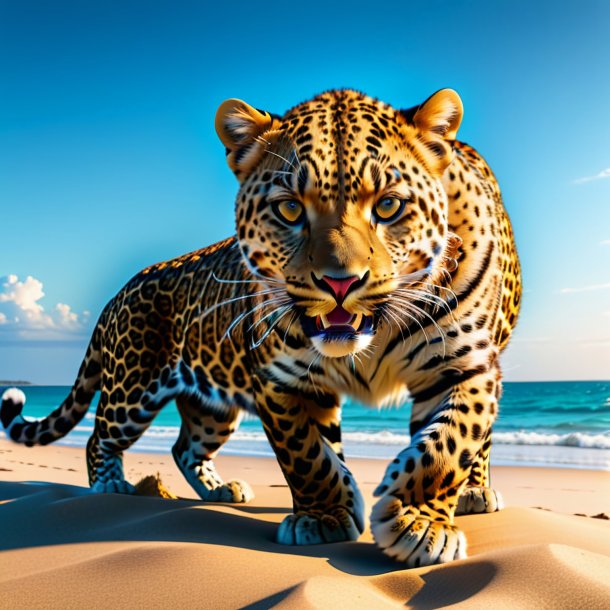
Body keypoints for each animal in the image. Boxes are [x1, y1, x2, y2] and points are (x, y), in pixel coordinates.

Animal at [2, 88, 520, 568]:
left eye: (389, 206)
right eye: (289, 210)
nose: (340, 282)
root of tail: (118, 294)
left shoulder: (465, 368)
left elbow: (447, 446)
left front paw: (416, 522)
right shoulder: (283, 381)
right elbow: (308, 456)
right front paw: (325, 518)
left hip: (210, 406)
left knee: (184, 446)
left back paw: (220, 489)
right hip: (133, 386)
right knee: (100, 436)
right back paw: (112, 486)